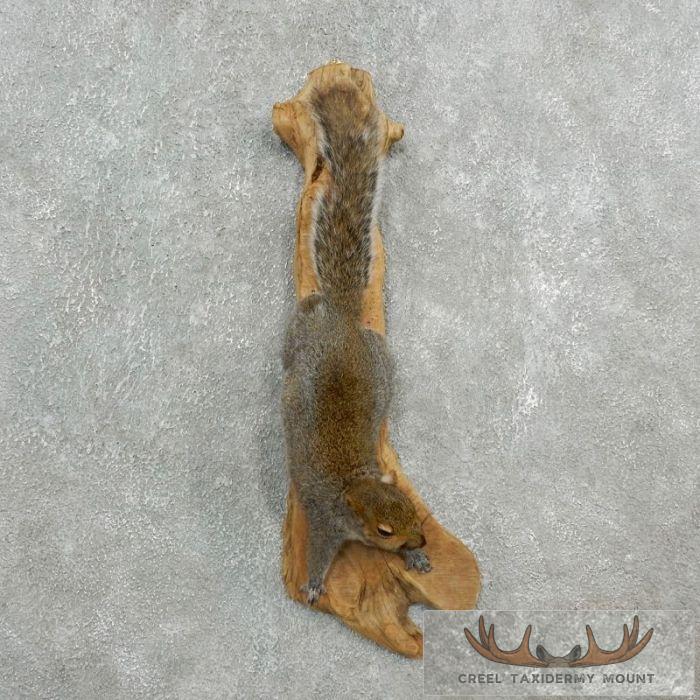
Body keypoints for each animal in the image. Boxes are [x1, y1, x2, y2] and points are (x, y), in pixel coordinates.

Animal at [281, 80, 431, 605]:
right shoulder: (326, 524)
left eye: (412, 508)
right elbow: (321, 553)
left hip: (381, 360)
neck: (355, 486)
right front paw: (313, 583)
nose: (421, 540)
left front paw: (416, 561)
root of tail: (344, 322)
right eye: (384, 530)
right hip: (306, 341)